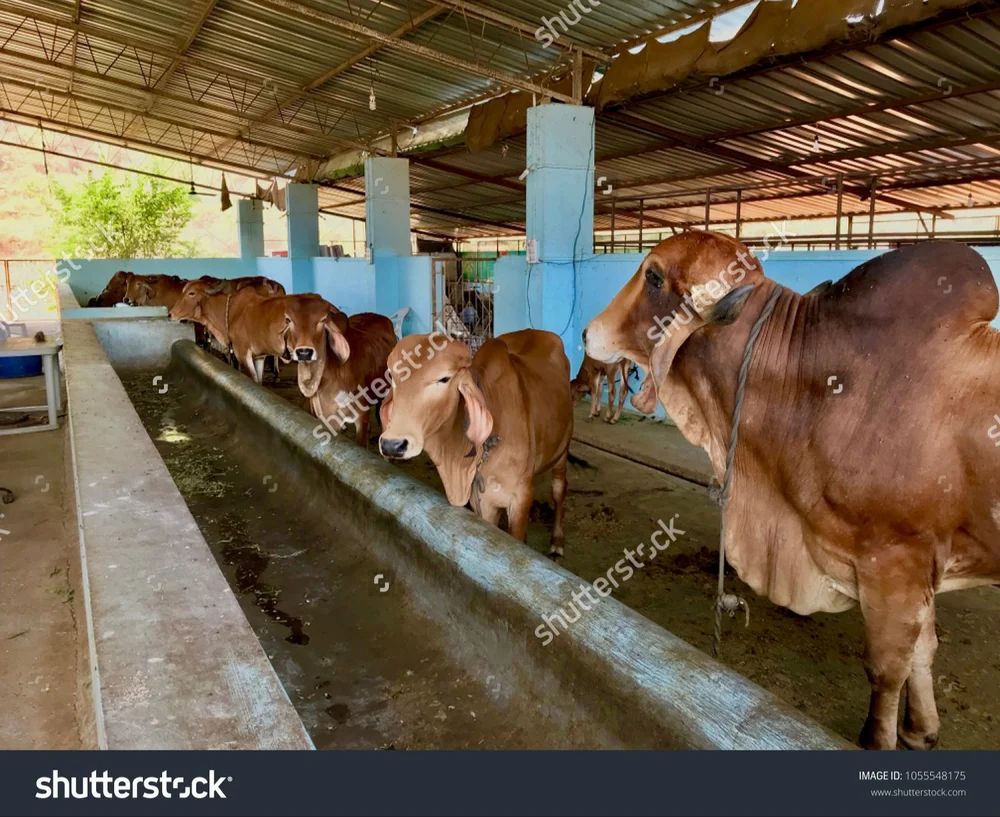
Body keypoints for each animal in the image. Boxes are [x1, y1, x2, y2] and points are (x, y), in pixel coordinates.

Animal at [378, 330, 573, 558]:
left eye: (444, 378)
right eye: (393, 377)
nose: (392, 444)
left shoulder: (521, 496)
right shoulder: (482, 500)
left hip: (562, 451)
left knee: (559, 490)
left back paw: (557, 541)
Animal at [584, 229, 1000, 750]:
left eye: (654, 276)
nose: (587, 333)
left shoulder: (895, 563)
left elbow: (888, 669)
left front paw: (879, 738)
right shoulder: (920, 570)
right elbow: (924, 650)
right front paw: (920, 730)